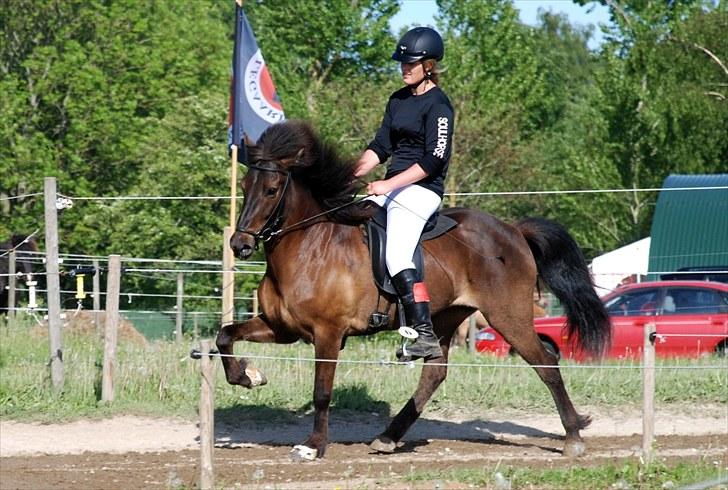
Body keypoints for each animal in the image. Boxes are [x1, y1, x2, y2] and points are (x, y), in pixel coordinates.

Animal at [219, 120, 612, 462]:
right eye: (246, 186)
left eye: (271, 190)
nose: (240, 245)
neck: (308, 247)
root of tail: (513, 231)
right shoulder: (282, 328)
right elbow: (225, 336)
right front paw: (248, 376)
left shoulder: (327, 334)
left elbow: (321, 392)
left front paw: (313, 446)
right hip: (446, 317)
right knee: (434, 373)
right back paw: (388, 437)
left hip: (508, 316)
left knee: (546, 363)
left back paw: (573, 438)